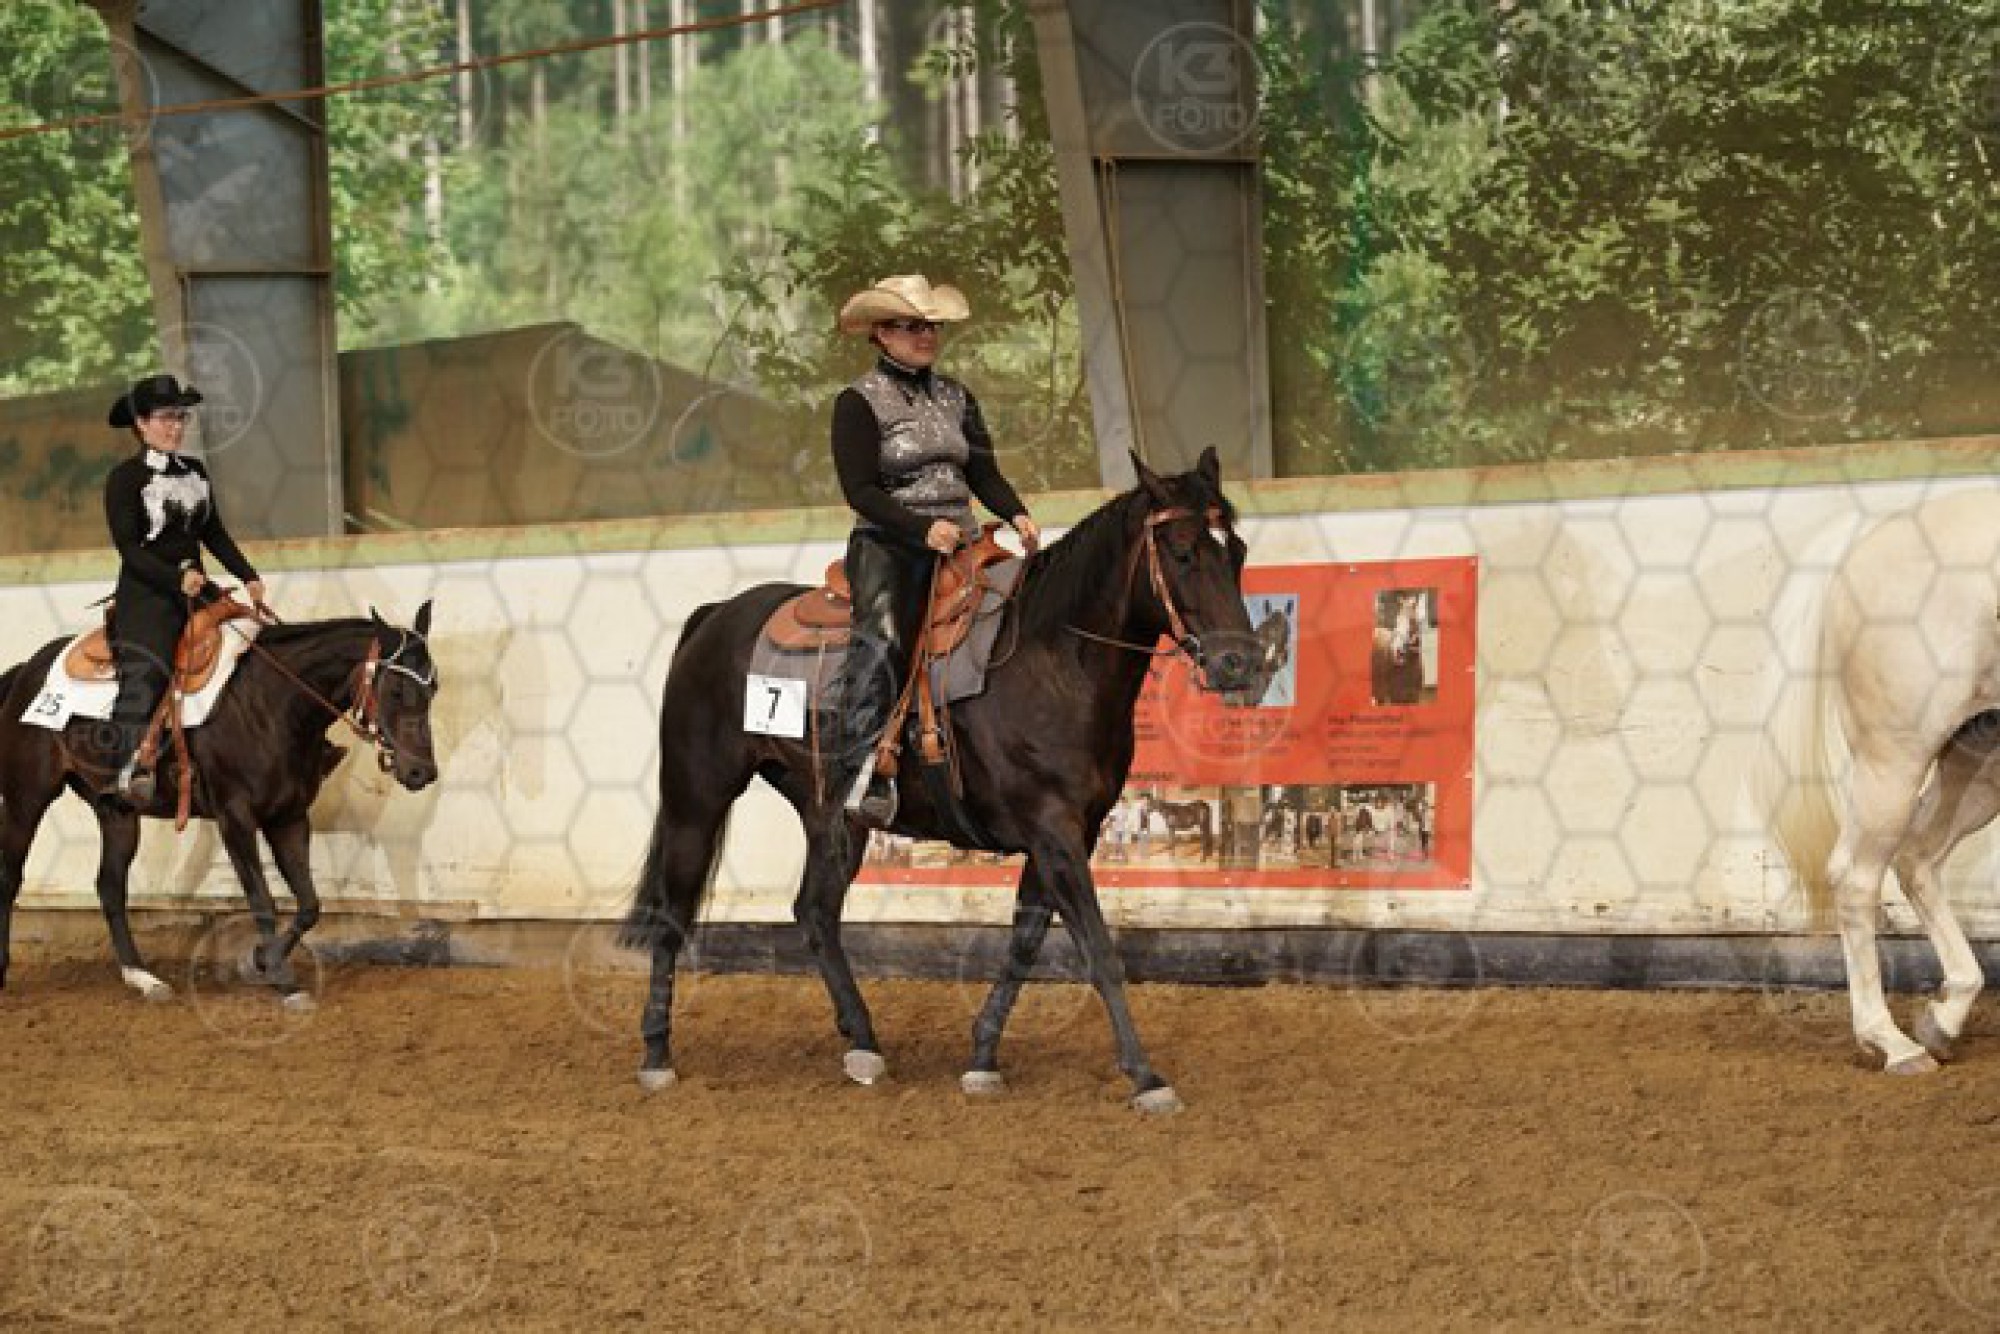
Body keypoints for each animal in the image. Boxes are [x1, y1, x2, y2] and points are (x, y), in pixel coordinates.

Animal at [0, 603, 441, 1004]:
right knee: (11, 876)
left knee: (110, 885)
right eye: (396, 689)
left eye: (433, 688)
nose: (421, 772)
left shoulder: (289, 818)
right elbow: (263, 900)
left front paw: (263, 959)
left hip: (117, 811)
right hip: (27, 796)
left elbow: (309, 904)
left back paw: (144, 978)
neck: (271, 704)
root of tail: (25, 670)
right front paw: (278, 975)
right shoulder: (236, 819)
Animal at [622, 450, 1272, 1111]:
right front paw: (1146, 1076)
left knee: (815, 912)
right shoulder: (1054, 831)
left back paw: (863, 1043)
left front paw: (983, 1057)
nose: (1242, 663)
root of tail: (713, 618)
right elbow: (1097, 948)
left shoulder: (1070, 834)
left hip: (834, 816)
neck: (1050, 658)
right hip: (696, 797)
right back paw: (657, 1053)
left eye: (1237, 550)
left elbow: (1026, 941)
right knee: (673, 911)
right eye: (1183, 551)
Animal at [1756, 489, 2000, 1074]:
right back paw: (1893, 1044)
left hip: (1975, 759)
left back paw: (1942, 1021)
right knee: (1858, 878)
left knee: (1917, 857)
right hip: (1894, 763)